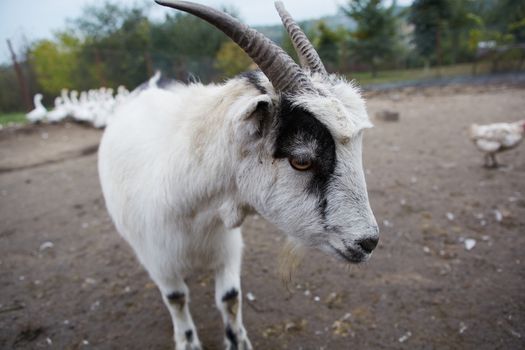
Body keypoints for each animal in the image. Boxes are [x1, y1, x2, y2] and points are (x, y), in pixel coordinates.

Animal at [97, 1, 376, 348]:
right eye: (301, 160)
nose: (369, 241)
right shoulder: (157, 259)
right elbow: (176, 298)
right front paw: (187, 341)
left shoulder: (227, 245)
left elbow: (229, 297)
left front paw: (238, 341)